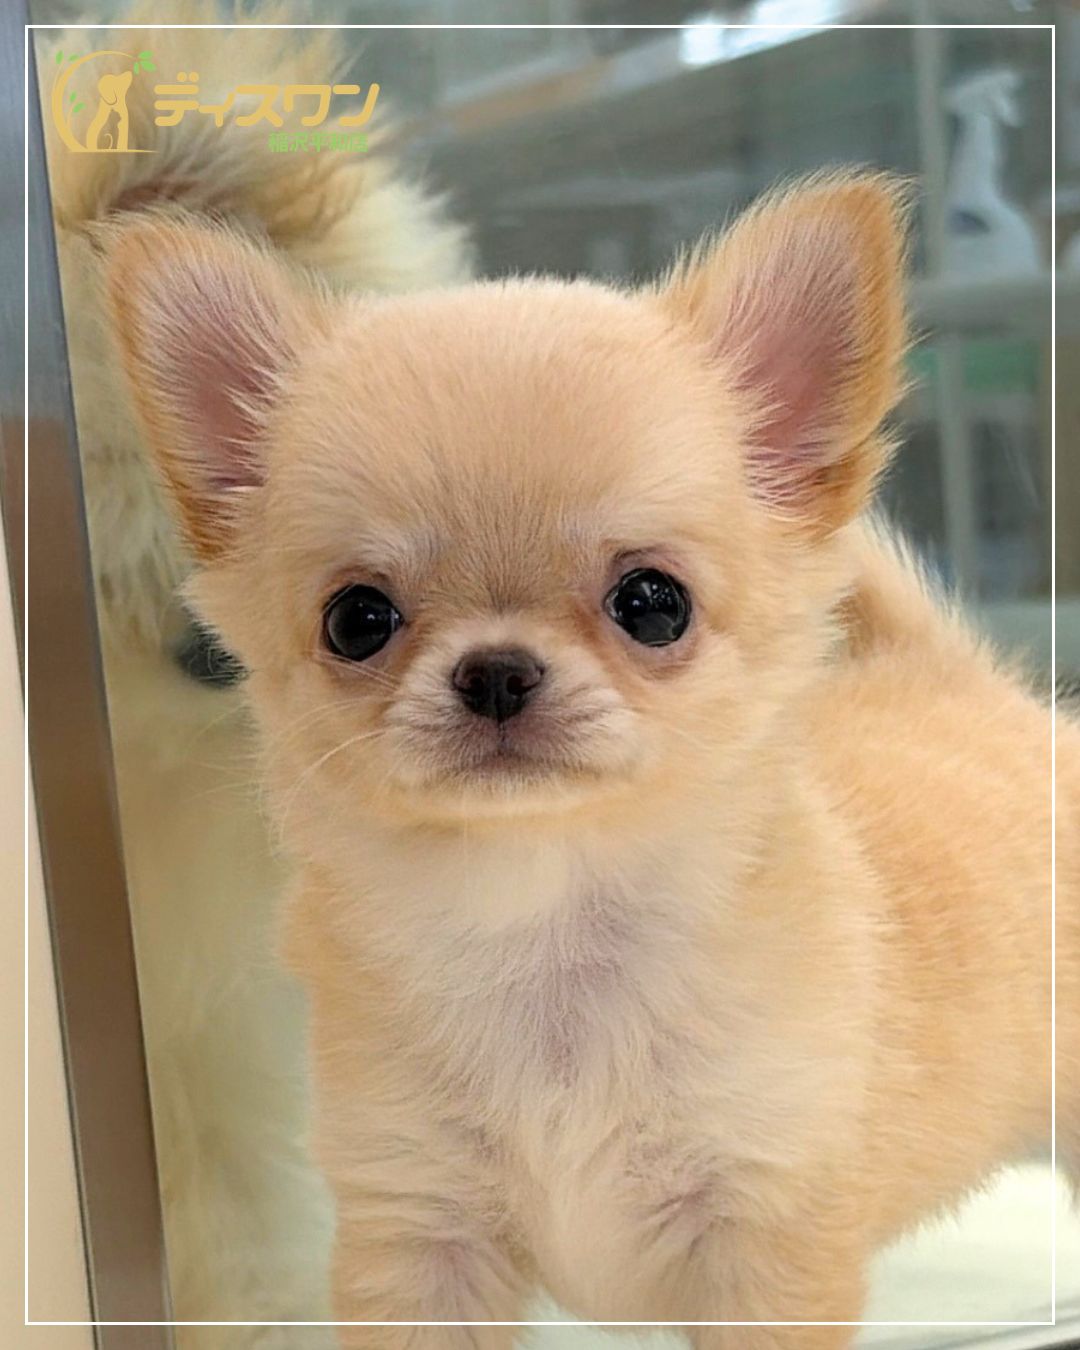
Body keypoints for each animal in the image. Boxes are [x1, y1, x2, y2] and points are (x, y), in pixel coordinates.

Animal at [104, 170, 1076, 1348]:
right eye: (356, 620)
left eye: (652, 604)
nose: (494, 671)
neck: (545, 928)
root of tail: (961, 679)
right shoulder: (419, 1228)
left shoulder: (761, 1231)